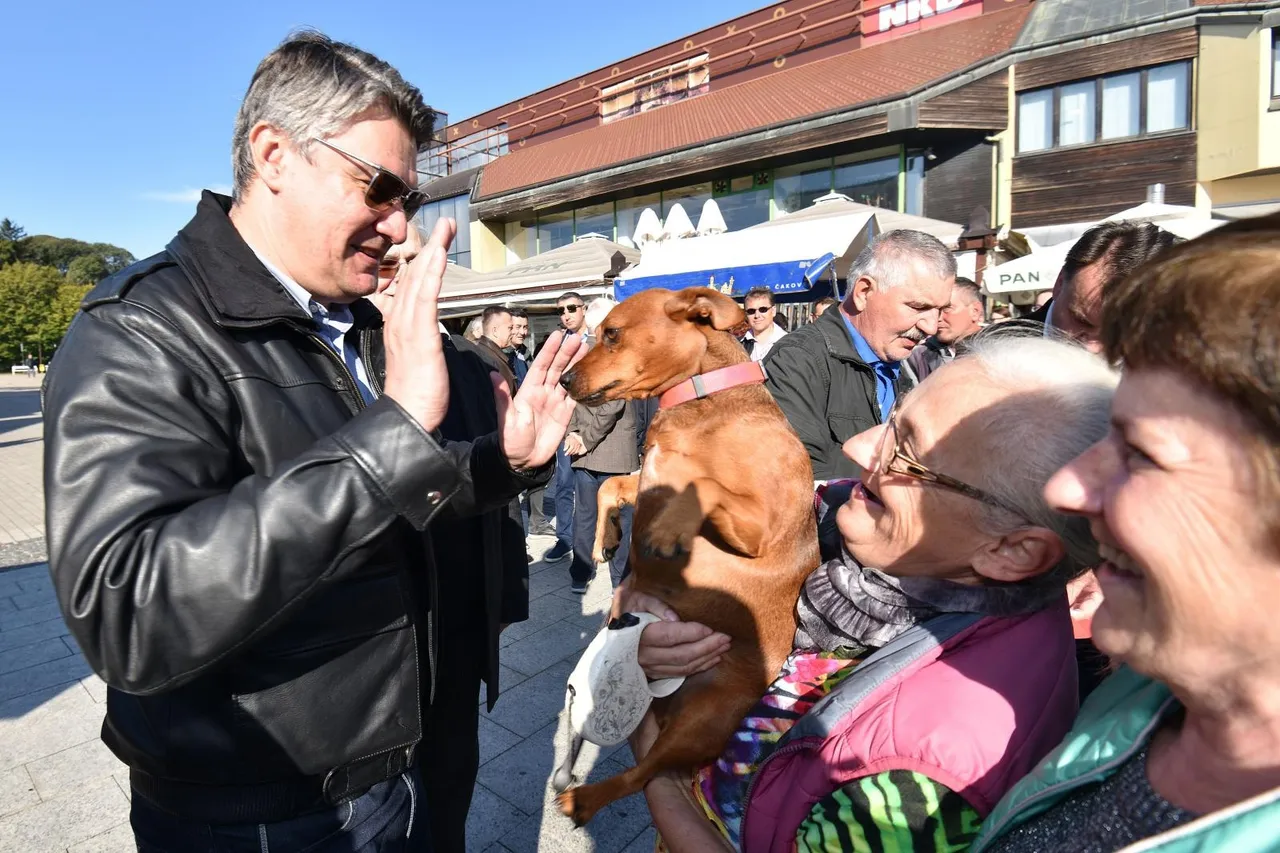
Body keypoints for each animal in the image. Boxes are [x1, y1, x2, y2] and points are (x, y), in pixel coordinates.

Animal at [552, 285, 814, 824]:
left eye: (611, 333)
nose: (563, 381)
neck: (698, 401)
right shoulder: (647, 480)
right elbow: (610, 485)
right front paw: (606, 538)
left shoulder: (762, 524)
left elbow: (701, 484)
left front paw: (669, 528)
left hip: (703, 721)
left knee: (643, 775)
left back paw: (584, 798)